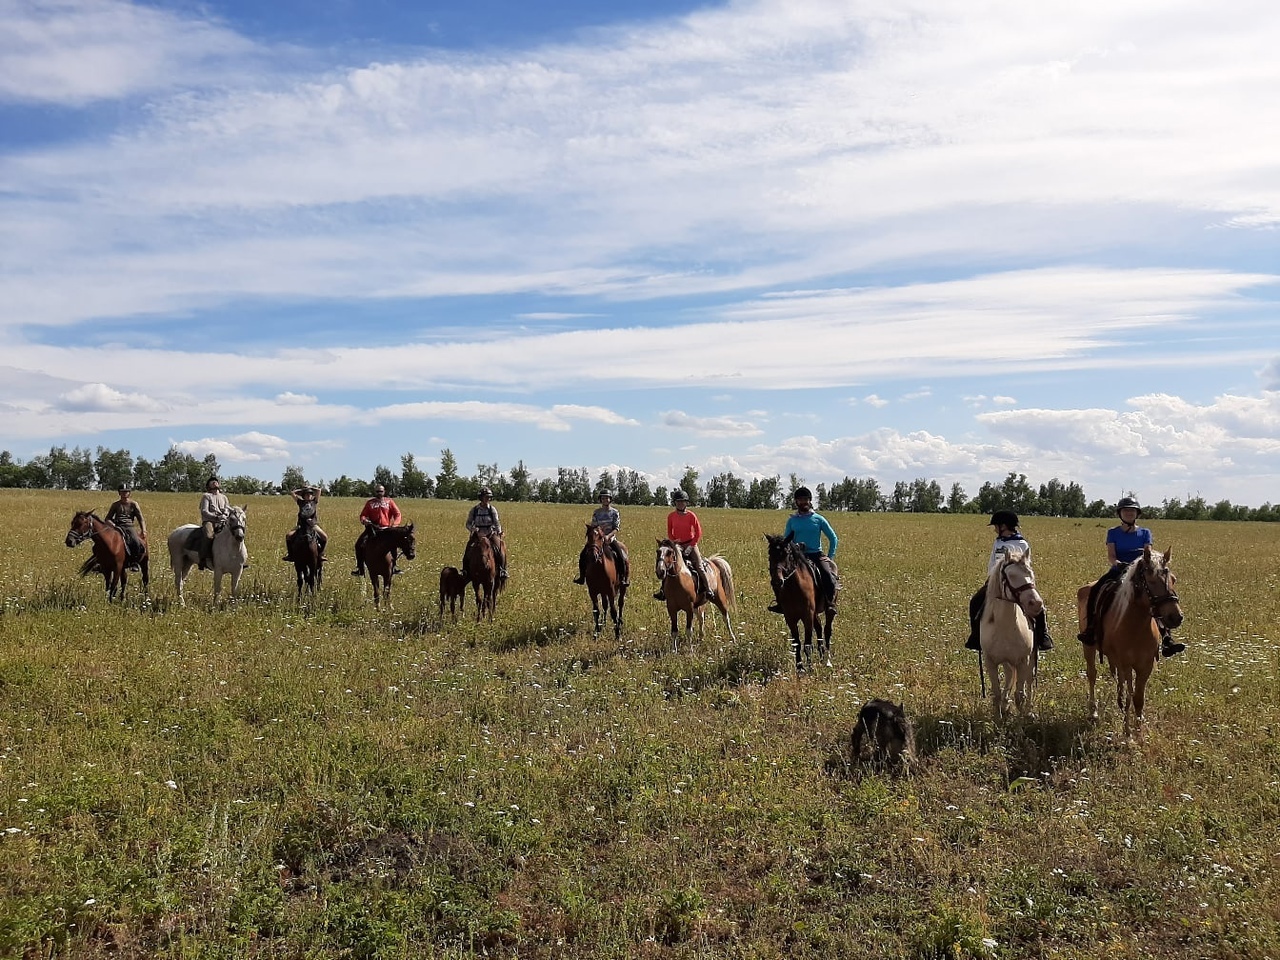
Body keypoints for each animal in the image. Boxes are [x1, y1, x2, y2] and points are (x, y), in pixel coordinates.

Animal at [762, 529, 834, 670]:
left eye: (786, 554)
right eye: (770, 554)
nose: (777, 582)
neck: (794, 589)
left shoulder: (807, 615)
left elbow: (807, 644)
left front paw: (810, 668)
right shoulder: (790, 618)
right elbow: (797, 644)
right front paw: (800, 668)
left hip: (825, 611)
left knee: (827, 630)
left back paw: (827, 659)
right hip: (814, 613)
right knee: (819, 628)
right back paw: (821, 655)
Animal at [983, 547, 1044, 721]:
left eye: (1031, 573)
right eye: (1010, 576)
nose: (1036, 604)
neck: (1005, 627)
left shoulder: (1023, 660)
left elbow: (1020, 694)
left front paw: (1021, 719)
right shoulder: (991, 662)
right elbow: (996, 693)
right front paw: (999, 718)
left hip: (1030, 659)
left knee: (1029, 682)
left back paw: (1029, 711)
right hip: (1006, 661)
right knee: (1010, 676)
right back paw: (1005, 704)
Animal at [1075, 547, 1182, 742]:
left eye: (1173, 579)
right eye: (1151, 580)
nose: (1176, 617)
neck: (1135, 626)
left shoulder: (1144, 666)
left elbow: (1138, 698)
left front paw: (1139, 734)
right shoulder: (1125, 664)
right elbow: (1128, 697)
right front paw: (1127, 734)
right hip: (1089, 648)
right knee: (1092, 675)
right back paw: (1093, 712)